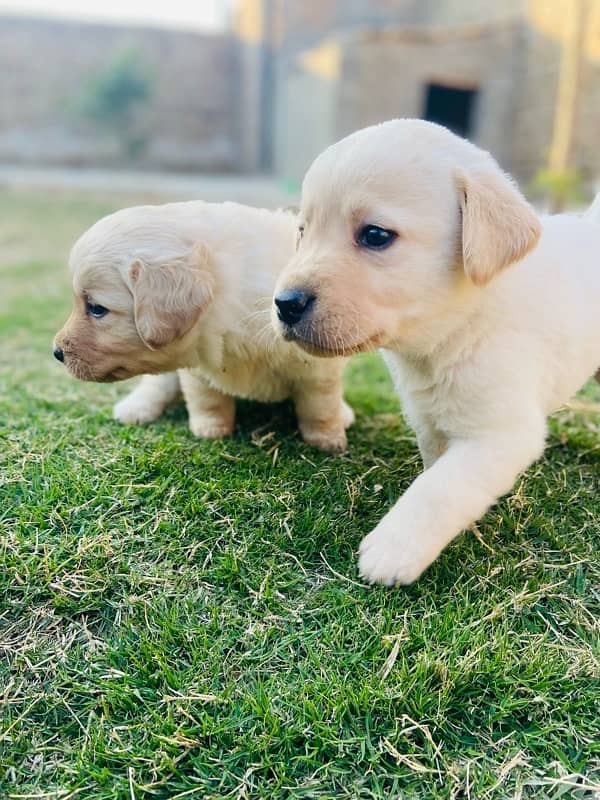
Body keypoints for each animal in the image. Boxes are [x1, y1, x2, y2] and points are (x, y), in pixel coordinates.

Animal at [54, 202, 354, 450]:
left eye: (96, 309)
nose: (56, 353)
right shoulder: (197, 367)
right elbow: (206, 398)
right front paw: (211, 429)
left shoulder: (318, 366)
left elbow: (320, 405)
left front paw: (327, 440)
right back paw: (136, 407)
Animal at [274, 117, 600, 580]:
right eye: (303, 232)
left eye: (375, 235)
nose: (284, 303)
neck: (454, 332)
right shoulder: (428, 420)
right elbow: (434, 470)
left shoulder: (501, 434)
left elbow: (442, 487)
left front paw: (394, 547)